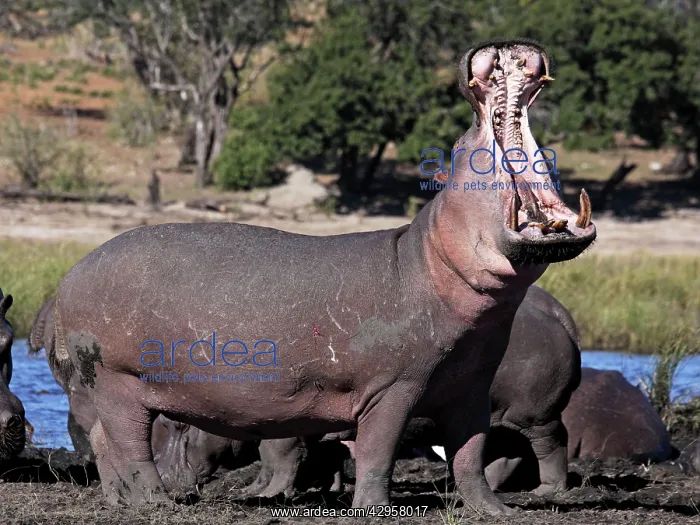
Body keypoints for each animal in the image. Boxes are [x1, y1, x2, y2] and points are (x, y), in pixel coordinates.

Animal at [250, 284, 581, 497]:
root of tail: (559, 314)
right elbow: (318, 459)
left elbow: (279, 457)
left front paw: (266, 495)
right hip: (504, 418)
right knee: (505, 453)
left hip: (535, 415)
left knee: (552, 444)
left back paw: (545, 492)